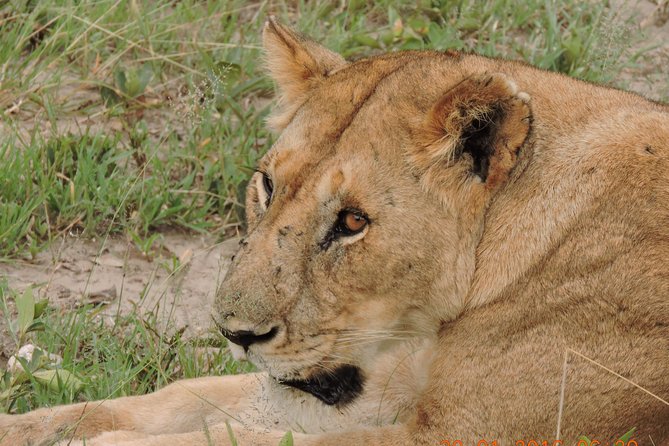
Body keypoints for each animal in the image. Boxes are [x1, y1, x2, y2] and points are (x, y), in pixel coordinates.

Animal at [1, 17, 668, 446]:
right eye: (267, 186)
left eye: (352, 222)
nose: (236, 333)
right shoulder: (379, 385)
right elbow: (183, 400)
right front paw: (29, 428)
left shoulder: (472, 435)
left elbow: (226, 437)